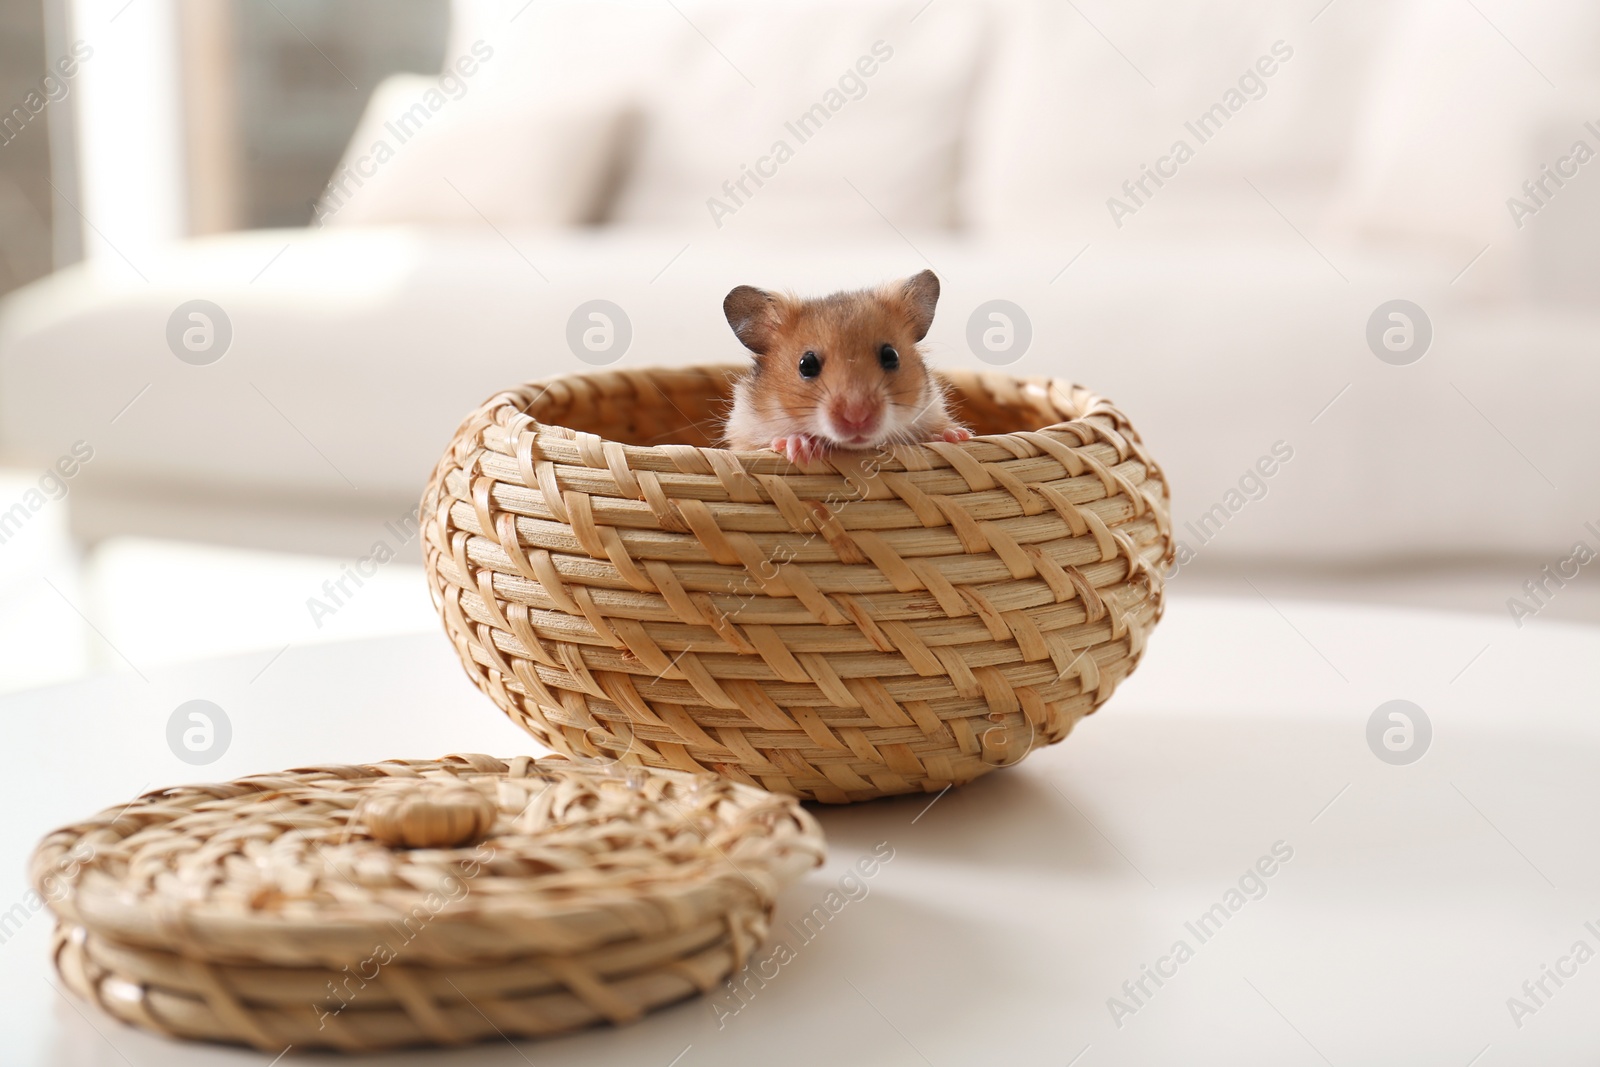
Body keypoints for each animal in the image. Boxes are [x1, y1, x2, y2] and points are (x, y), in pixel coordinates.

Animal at [720, 268, 966, 460]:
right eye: (806, 365)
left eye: (891, 356)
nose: (858, 417)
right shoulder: (743, 438)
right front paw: (800, 446)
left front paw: (955, 436)